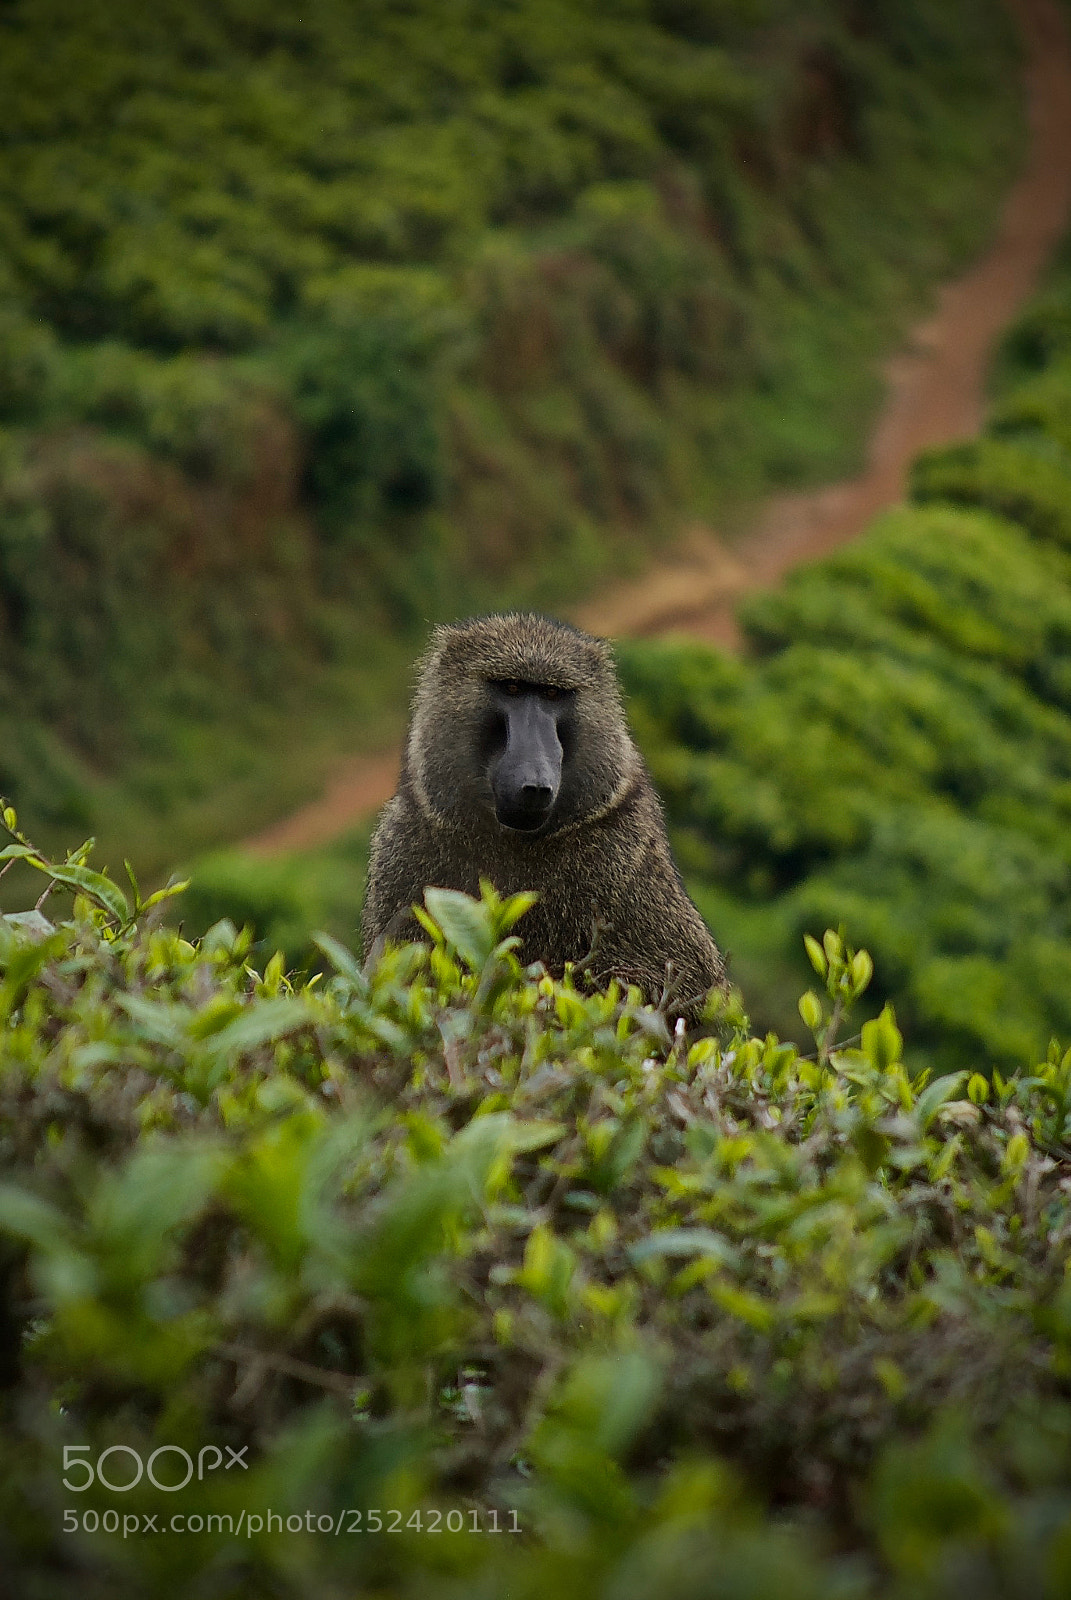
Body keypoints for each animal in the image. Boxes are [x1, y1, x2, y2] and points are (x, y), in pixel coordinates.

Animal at [361, 612, 726, 1022]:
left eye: (552, 694)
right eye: (512, 688)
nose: (534, 783)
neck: (512, 840)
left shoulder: (626, 853)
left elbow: (689, 990)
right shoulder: (402, 847)